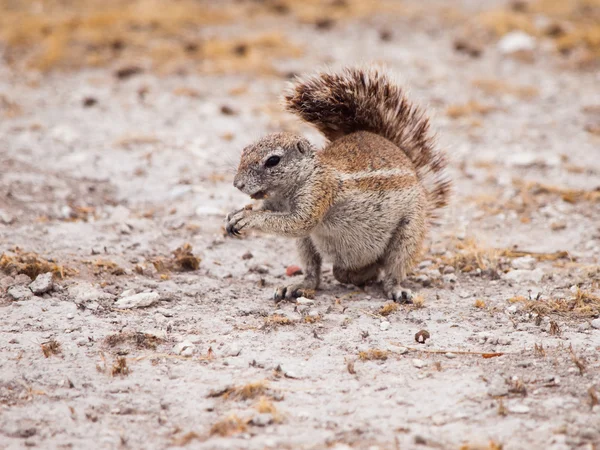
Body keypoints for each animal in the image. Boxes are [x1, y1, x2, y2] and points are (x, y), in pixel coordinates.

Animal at [226, 65, 450, 300]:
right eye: (245, 150)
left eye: (273, 161)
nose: (237, 184)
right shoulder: (276, 203)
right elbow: (269, 211)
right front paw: (236, 214)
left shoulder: (319, 193)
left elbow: (297, 222)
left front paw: (249, 218)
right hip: (306, 243)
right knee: (317, 273)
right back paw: (302, 285)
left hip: (408, 233)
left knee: (391, 270)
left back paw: (395, 288)